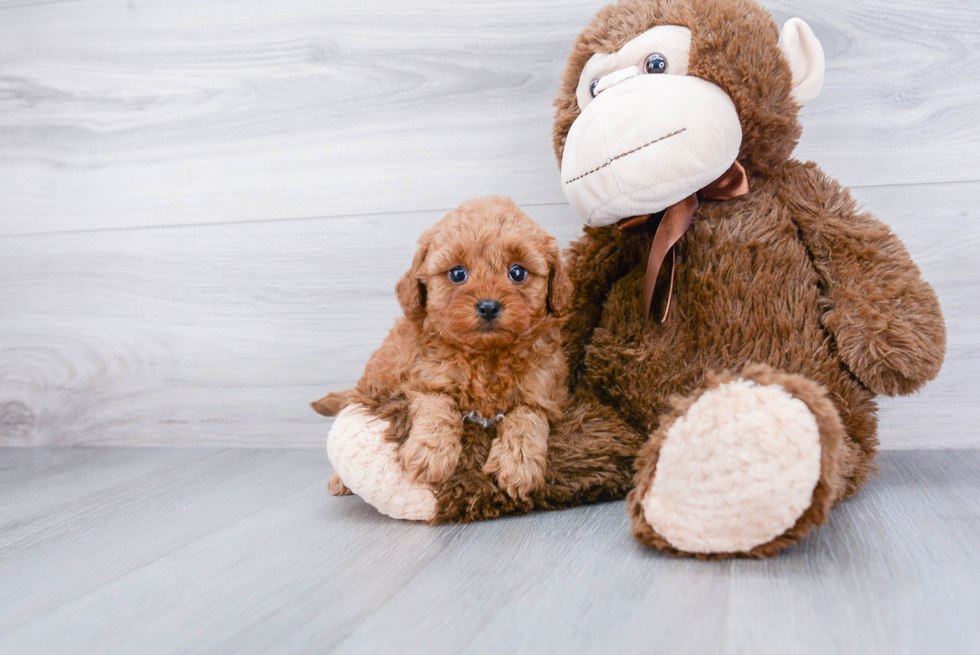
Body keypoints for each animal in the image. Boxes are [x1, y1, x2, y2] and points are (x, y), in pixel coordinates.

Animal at [314, 197, 576, 516]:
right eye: (457, 274)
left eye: (518, 272)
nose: (488, 306)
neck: (485, 356)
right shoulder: (423, 380)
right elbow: (439, 407)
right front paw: (431, 454)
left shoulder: (544, 392)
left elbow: (527, 417)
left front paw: (519, 463)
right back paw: (339, 480)